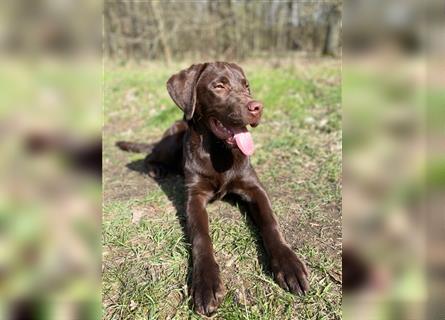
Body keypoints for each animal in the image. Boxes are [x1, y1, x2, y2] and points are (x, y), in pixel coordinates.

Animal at [116, 62, 306, 316]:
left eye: (246, 85)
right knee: (150, 155)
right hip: (170, 142)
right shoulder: (194, 196)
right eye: (219, 86)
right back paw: (156, 168)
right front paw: (206, 282)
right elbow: (201, 236)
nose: (258, 107)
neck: (219, 151)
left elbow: (270, 222)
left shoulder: (254, 188)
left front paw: (289, 264)